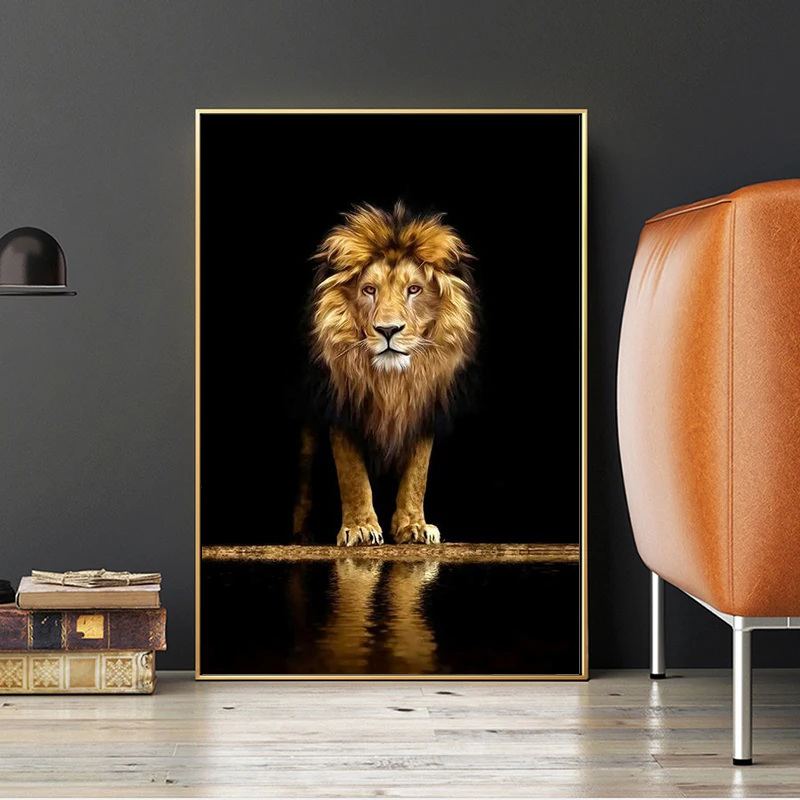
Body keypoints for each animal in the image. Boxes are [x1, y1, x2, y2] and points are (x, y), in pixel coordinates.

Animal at [293, 202, 479, 547]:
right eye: (369, 290)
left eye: (414, 290)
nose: (388, 330)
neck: (391, 381)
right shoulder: (341, 407)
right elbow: (352, 474)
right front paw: (361, 527)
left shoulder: (423, 407)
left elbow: (418, 474)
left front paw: (414, 526)